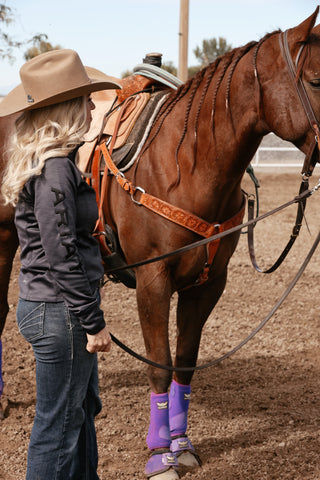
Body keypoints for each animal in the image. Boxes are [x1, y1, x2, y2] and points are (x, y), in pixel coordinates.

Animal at [0, 8, 320, 480]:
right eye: (315, 80)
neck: (186, 164)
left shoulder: (209, 282)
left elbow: (184, 361)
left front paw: (181, 444)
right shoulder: (153, 279)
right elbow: (159, 365)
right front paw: (158, 455)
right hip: (4, 237)